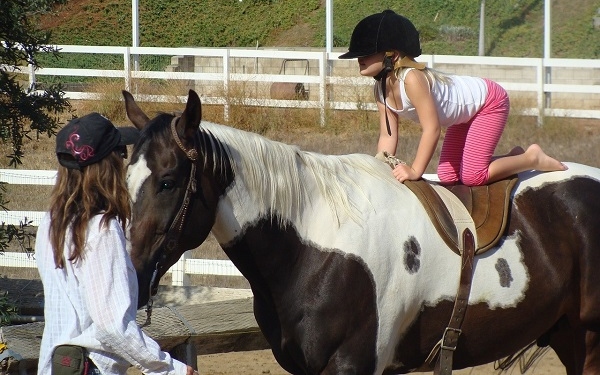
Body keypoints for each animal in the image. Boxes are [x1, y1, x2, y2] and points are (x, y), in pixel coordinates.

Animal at [124, 89, 600, 375]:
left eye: (167, 181)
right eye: (126, 179)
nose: (133, 277)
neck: (314, 245)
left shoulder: (352, 364)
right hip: (569, 335)